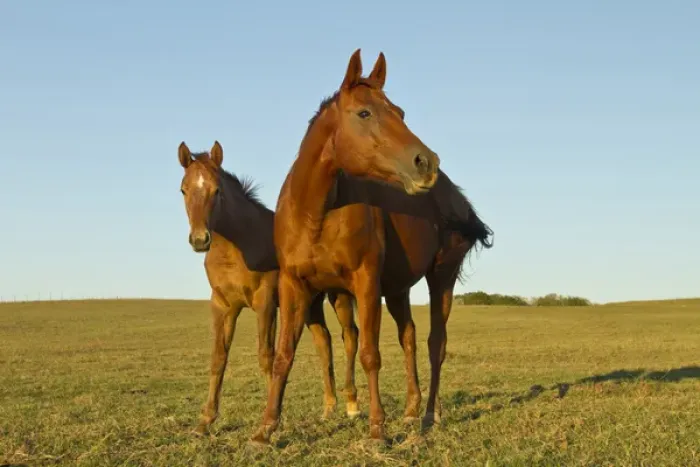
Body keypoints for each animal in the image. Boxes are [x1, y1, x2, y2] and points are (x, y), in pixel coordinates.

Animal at [252, 49, 492, 444]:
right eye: (364, 113)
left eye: (401, 113)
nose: (426, 162)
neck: (315, 213)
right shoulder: (294, 285)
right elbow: (284, 354)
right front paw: (265, 430)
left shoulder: (365, 284)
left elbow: (369, 354)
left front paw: (377, 429)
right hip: (396, 289)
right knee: (409, 337)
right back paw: (411, 410)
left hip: (441, 277)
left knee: (435, 344)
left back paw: (429, 415)